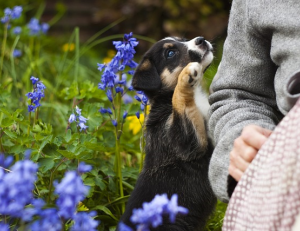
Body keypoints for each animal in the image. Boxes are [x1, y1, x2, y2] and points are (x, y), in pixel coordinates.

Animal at [119, 37, 216, 231]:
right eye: (170, 53)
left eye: (183, 39)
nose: (201, 40)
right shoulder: (187, 144)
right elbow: (179, 99)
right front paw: (186, 76)